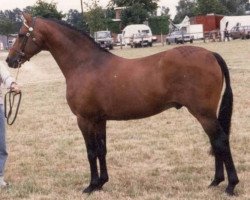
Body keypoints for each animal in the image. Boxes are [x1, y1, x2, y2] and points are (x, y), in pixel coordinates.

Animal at [6, 13, 239, 195]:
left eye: (21, 35)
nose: (9, 60)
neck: (85, 64)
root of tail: (210, 54)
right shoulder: (99, 120)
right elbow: (102, 150)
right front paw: (102, 183)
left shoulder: (84, 120)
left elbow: (91, 152)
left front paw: (91, 186)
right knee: (215, 142)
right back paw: (216, 181)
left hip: (203, 113)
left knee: (220, 141)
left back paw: (230, 186)